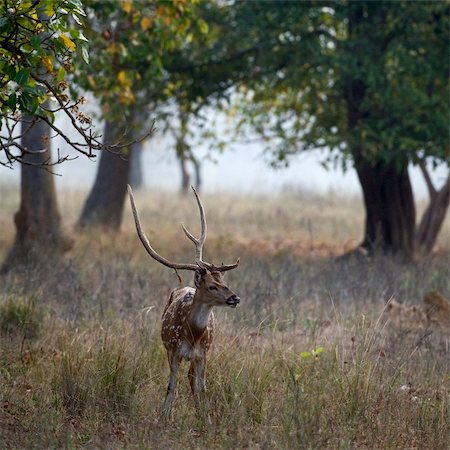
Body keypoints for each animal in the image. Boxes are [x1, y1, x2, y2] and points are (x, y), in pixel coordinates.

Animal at [126, 183, 239, 418]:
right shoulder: (173, 351)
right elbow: (171, 386)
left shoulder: (203, 354)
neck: (192, 335)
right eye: (212, 286)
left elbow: (202, 387)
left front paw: (206, 418)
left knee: (192, 380)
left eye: (223, 281)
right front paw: (163, 417)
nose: (235, 298)